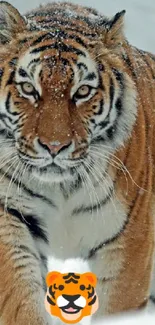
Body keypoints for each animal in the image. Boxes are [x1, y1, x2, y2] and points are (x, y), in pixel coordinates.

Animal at [0, 0, 155, 322]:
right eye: (29, 89)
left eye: (82, 91)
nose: (54, 146)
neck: (62, 188)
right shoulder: (9, 215)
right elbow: (20, 299)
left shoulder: (130, 241)